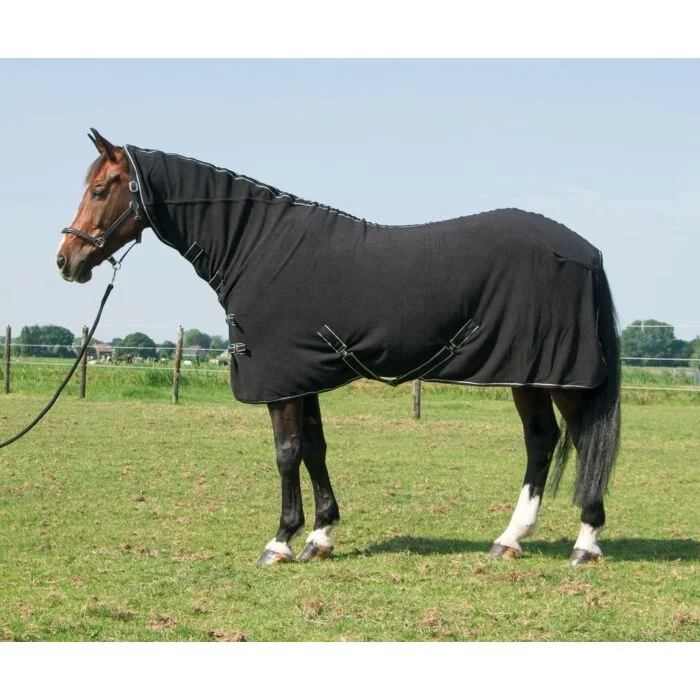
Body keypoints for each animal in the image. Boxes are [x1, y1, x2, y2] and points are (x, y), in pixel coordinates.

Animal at [56, 128, 621, 566]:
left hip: (557, 375)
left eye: (101, 188)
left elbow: (286, 453)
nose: (66, 259)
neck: (258, 248)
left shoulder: (281, 380)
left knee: (576, 439)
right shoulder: (301, 374)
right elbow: (314, 448)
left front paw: (280, 542)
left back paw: (585, 544)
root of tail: (586, 251)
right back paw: (509, 540)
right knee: (542, 441)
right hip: (530, 375)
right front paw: (320, 536)